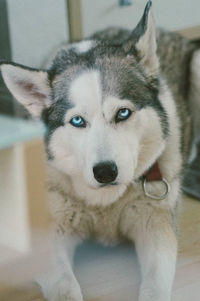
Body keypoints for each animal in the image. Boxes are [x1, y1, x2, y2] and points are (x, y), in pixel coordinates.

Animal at [0, 1, 200, 298]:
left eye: (123, 113)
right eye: (77, 121)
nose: (105, 172)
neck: (106, 205)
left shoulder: (156, 225)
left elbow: (155, 286)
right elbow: (65, 287)